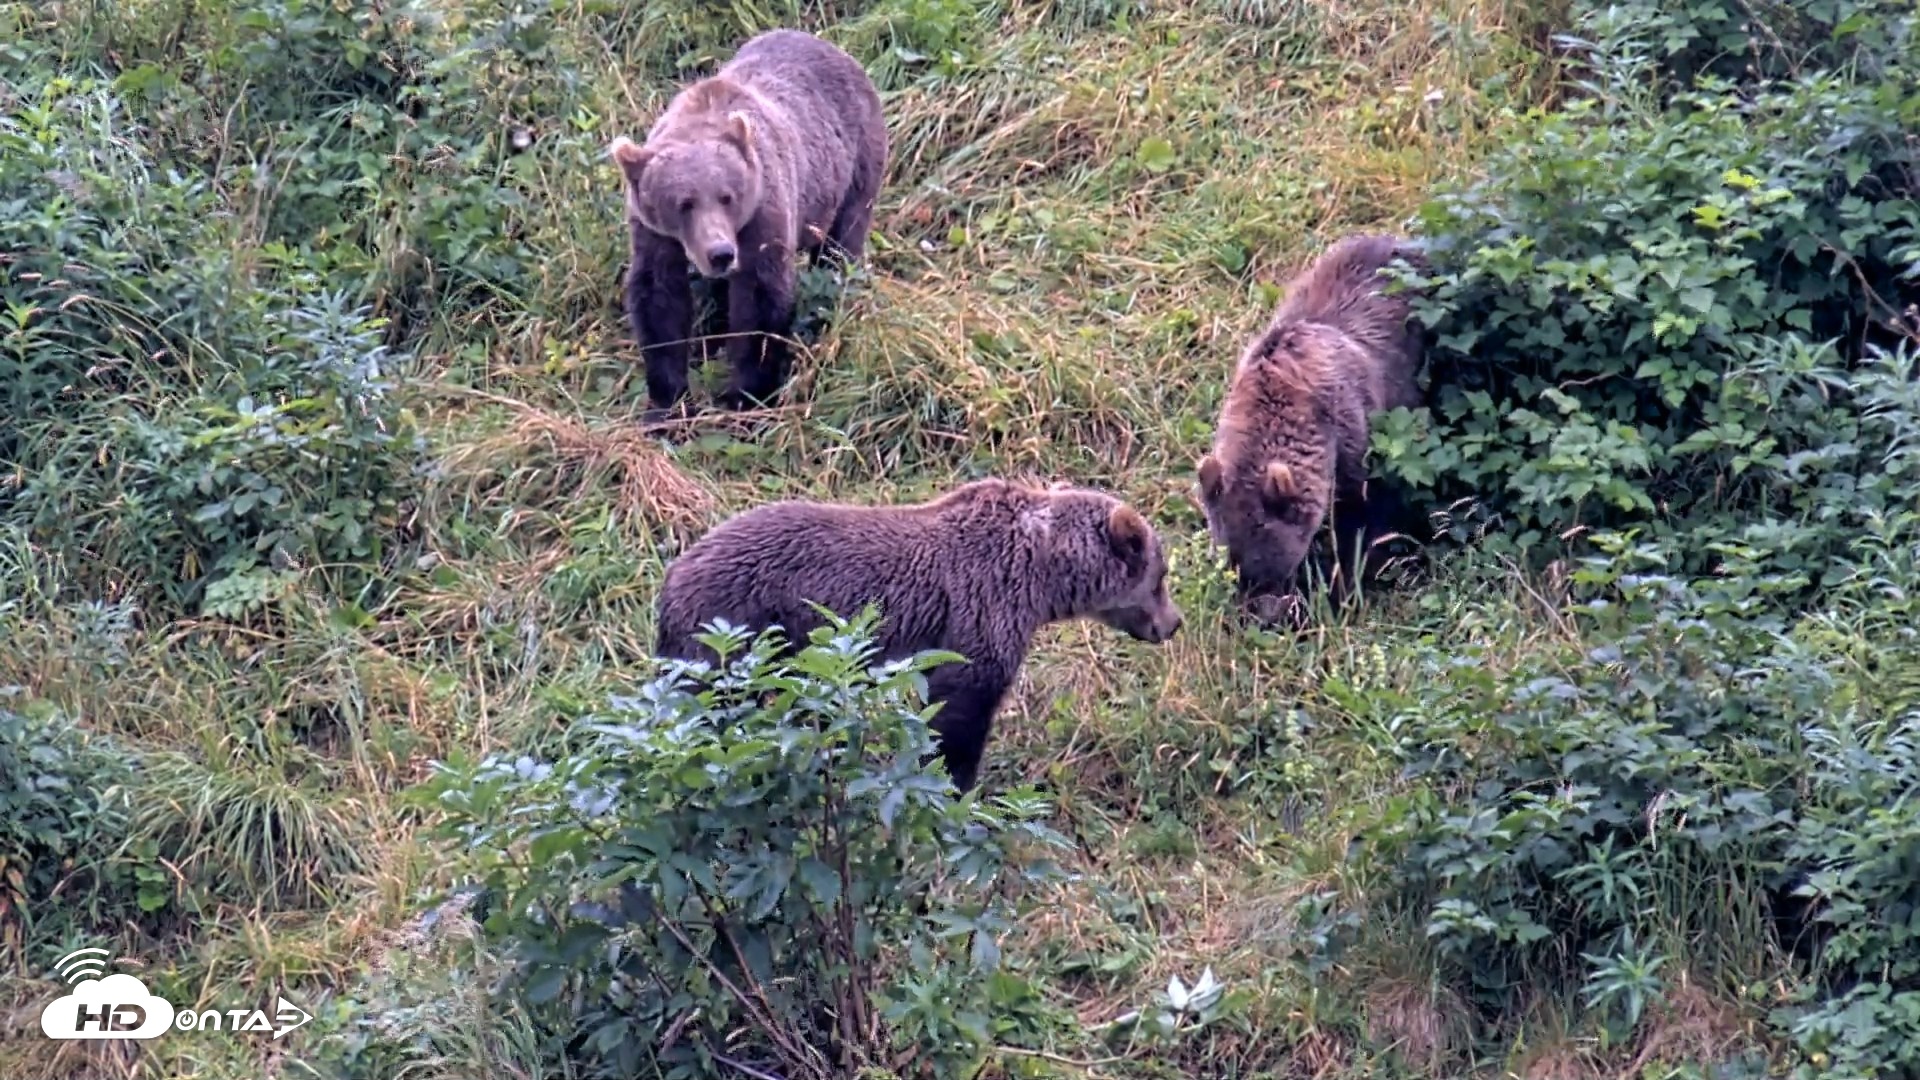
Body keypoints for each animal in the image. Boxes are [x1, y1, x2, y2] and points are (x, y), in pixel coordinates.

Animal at [608, 29, 889, 416]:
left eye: (727, 196)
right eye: (684, 204)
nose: (721, 253)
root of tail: (838, 51)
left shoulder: (761, 212)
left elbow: (760, 299)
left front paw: (746, 396)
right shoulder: (653, 232)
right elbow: (660, 297)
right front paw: (667, 401)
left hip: (854, 166)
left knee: (839, 248)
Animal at [653, 478, 1185, 792]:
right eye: (1160, 576)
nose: (1173, 623)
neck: (1042, 573)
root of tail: (673, 574)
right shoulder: (983, 606)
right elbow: (963, 706)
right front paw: (957, 782)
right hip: (732, 627)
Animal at [1194, 232, 1430, 623]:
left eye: (1268, 568)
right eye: (1233, 567)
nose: (1260, 614)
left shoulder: (1357, 437)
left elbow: (1359, 525)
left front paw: (1344, 589)